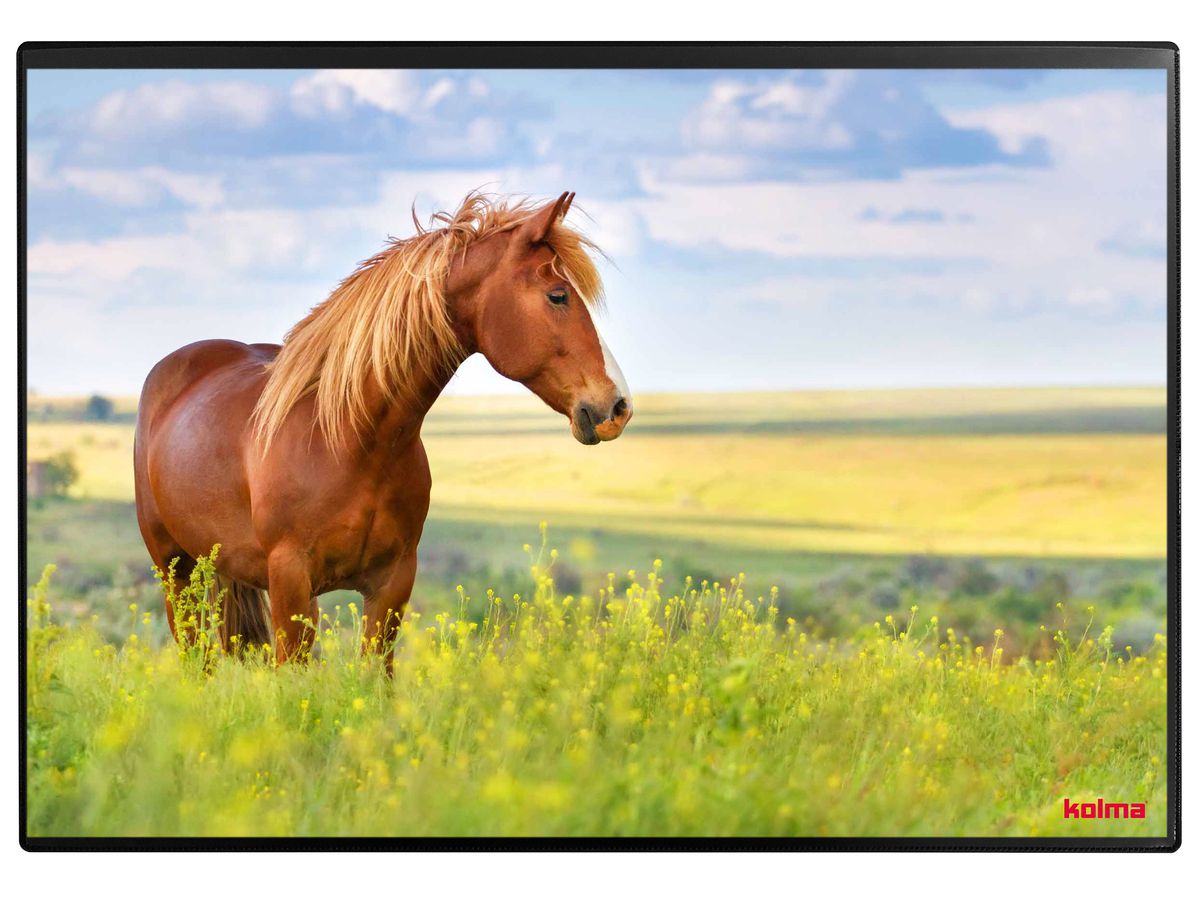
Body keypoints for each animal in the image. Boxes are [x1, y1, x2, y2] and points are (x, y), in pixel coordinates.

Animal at [133, 191, 632, 667]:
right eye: (557, 295)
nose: (618, 406)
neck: (351, 441)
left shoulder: (392, 584)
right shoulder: (291, 583)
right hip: (176, 573)